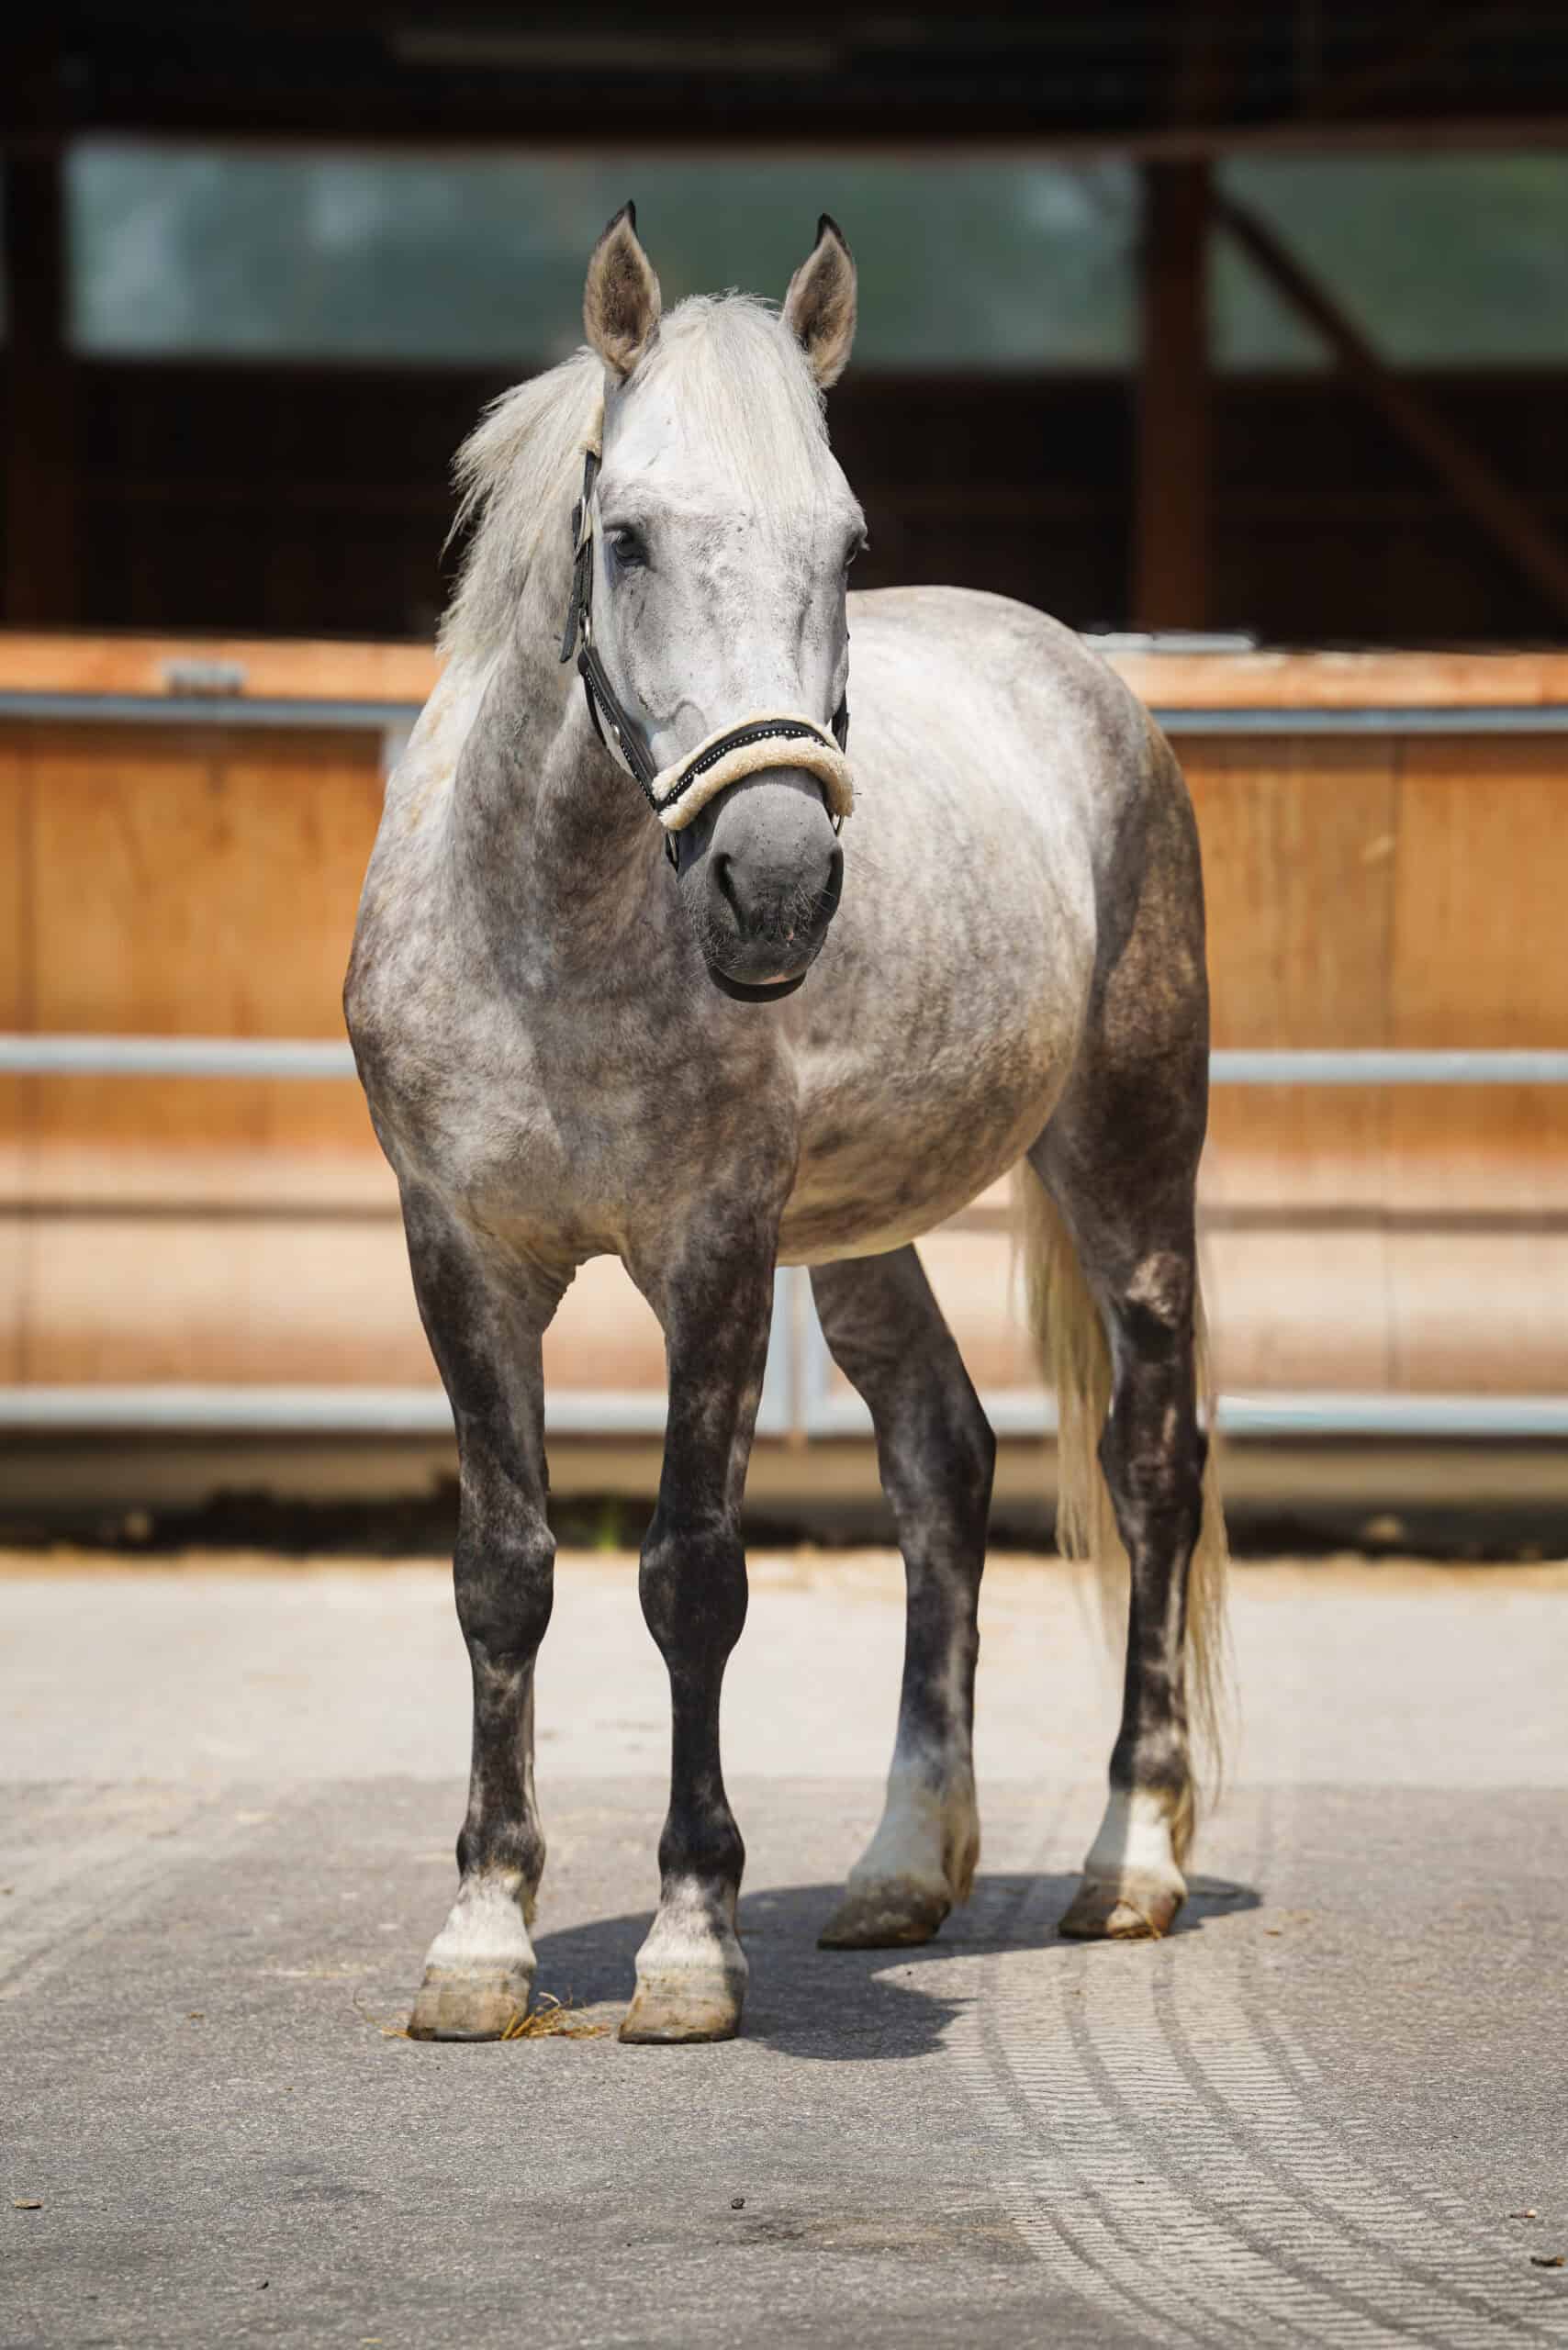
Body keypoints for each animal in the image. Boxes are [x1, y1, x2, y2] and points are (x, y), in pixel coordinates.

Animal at [345, 204, 1227, 2046]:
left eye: (845, 541)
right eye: (625, 541)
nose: (776, 881)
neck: (547, 936)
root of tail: (1084, 681)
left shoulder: (713, 1258)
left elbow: (692, 1576)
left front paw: (691, 1941)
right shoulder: (461, 1255)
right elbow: (501, 1574)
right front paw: (483, 1937)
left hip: (1127, 1159)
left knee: (1150, 1463)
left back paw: (1128, 1857)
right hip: (868, 1235)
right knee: (941, 1461)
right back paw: (902, 1868)